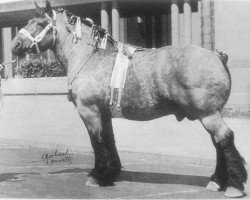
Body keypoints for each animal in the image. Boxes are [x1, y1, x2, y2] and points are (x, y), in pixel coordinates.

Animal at [10, 1, 247, 198]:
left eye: (41, 23)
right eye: (28, 21)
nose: (15, 45)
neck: (89, 58)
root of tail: (216, 55)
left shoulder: (89, 111)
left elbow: (96, 141)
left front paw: (97, 175)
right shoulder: (104, 113)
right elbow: (109, 139)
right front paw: (110, 173)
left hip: (207, 113)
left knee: (224, 138)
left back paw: (233, 186)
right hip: (208, 113)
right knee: (218, 142)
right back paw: (217, 182)